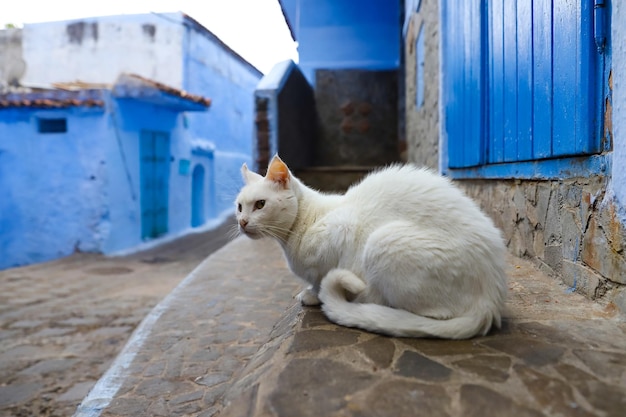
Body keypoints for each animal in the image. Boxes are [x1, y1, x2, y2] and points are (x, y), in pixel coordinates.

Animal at [235, 156, 508, 338]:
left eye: (260, 204)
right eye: (239, 207)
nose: (242, 222)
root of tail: (490, 301)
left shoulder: (342, 228)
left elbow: (321, 277)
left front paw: (313, 294)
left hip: (382, 241)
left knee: (429, 315)